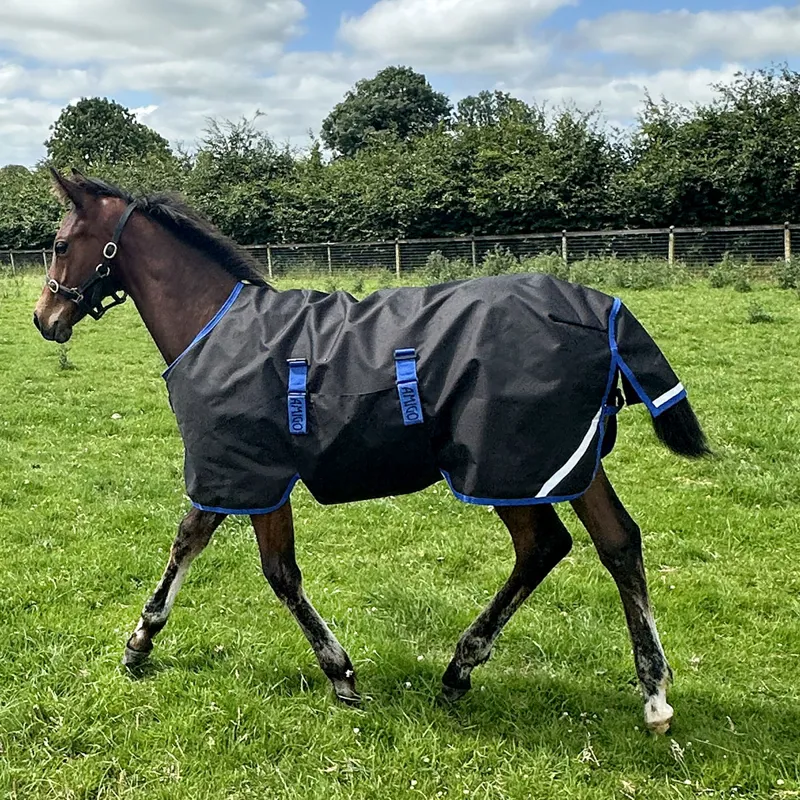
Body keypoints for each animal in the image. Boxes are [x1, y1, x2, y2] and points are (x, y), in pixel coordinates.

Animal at [34, 169, 709, 734]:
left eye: (62, 244)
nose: (45, 318)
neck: (214, 326)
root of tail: (599, 308)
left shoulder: (248, 472)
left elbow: (263, 567)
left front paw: (338, 672)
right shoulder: (242, 475)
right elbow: (208, 545)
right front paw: (143, 641)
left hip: (503, 468)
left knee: (544, 545)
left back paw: (461, 669)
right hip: (566, 462)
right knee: (618, 543)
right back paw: (653, 695)